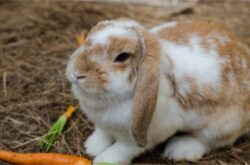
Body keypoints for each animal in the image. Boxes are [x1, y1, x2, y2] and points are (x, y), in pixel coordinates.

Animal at [66, 18, 250, 162]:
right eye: (88, 37)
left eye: (122, 56)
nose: (77, 73)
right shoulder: (103, 124)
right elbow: (102, 133)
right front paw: (91, 147)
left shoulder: (140, 137)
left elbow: (122, 149)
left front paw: (104, 160)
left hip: (221, 126)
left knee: (210, 141)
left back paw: (180, 150)